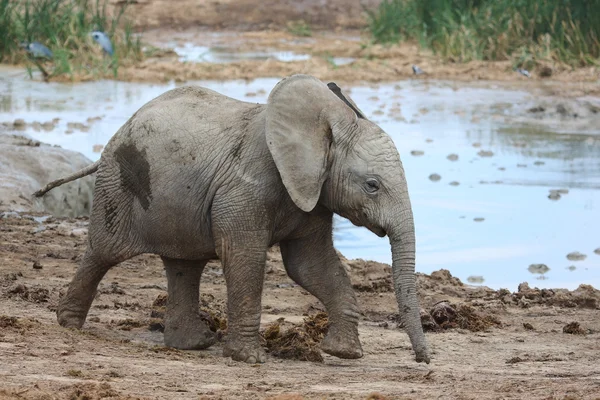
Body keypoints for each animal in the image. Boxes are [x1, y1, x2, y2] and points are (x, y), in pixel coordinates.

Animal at [34, 73, 432, 364]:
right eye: (372, 185)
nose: (423, 360)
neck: (324, 127)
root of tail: (121, 128)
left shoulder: (313, 194)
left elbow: (311, 265)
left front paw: (344, 353)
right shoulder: (246, 186)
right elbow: (246, 258)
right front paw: (250, 360)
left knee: (184, 265)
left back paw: (192, 344)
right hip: (118, 182)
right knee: (104, 252)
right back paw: (69, 326)